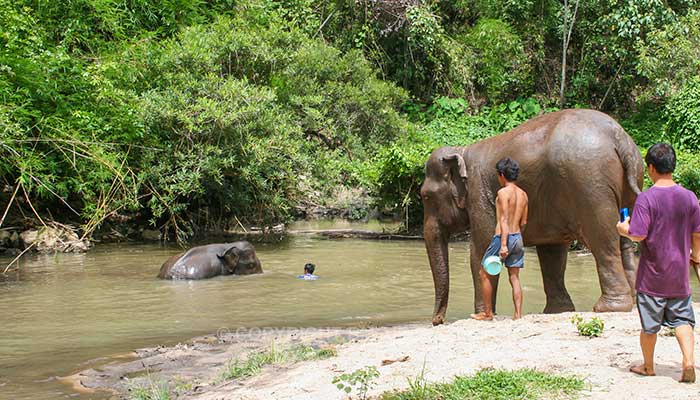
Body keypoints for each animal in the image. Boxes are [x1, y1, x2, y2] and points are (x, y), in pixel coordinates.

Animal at [418, 108, 644, 324]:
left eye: (426, 197)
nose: (437, 321)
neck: (462, 150)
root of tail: (619, 137)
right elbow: (551, 252)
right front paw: (557, 311)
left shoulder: (480, 197)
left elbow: (481, 249)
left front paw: (480, 315)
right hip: (626, 186)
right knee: (623, 242)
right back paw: (631, 301)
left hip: (591, 187)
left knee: (602, 241)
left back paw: (608, 307)